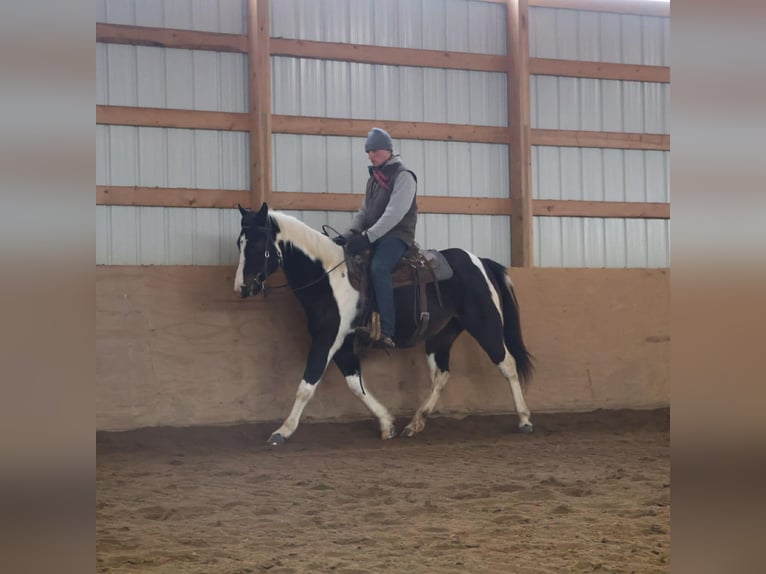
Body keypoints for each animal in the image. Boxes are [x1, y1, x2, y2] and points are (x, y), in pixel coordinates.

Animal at [234, 203, 534, 445]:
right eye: (239, 243)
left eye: (257, 243)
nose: (242, 287)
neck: (329, 277)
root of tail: (480, 261)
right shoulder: (343, 344)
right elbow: (355, 385)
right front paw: (387, 423)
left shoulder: (327, 339)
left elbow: (307, 385)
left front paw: (282, 431)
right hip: (441, 335)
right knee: (441, 375)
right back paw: (415, 423)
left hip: (486, 325)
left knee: (507, 364)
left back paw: (524, 420)